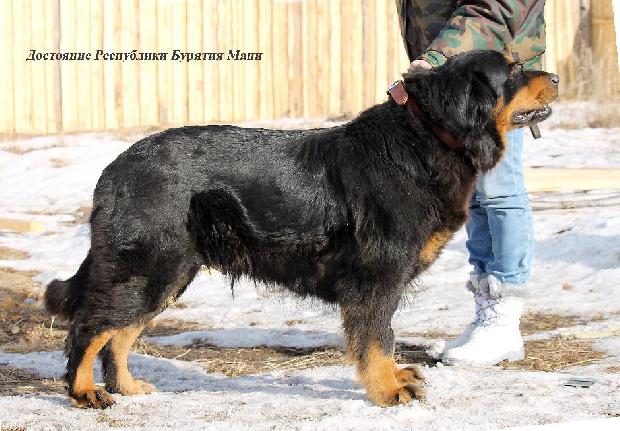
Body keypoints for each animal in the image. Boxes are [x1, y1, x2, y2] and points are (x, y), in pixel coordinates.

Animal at [45, 50, 558, 408]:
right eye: (513, 71)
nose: (553, 77)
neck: (427, 137)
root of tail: (115, 169)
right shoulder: (377, 277)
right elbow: (378, 339)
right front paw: (386, 391)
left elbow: (382, 339)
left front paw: (394, 380)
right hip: (151, 266)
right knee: (90, 328)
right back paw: (85, 392)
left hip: (170, 272)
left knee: (119, 334)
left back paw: (128, 387)